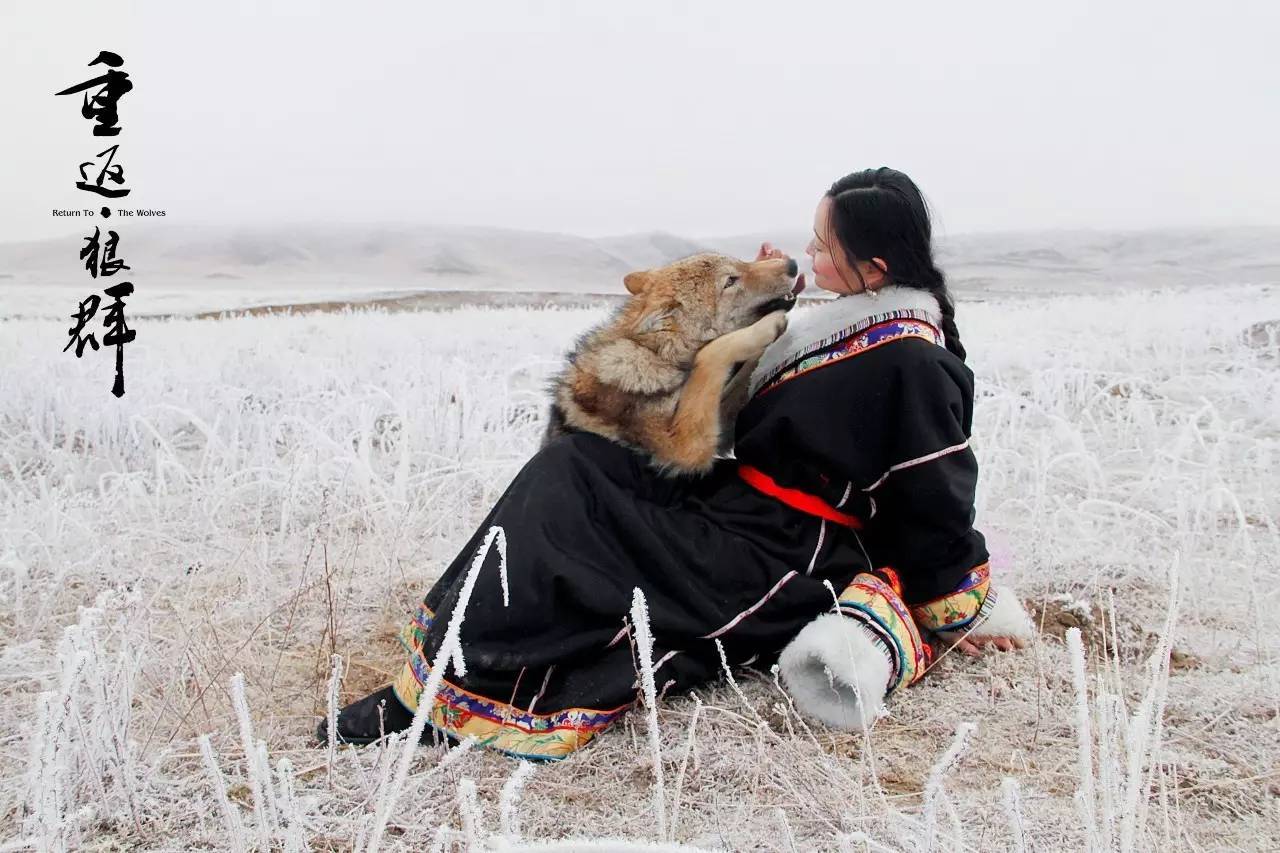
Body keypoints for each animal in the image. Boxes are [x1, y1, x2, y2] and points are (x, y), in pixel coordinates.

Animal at [542, 252, 803, 479]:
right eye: (730, 281)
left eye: (742, 262)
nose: (792, 264)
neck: (657, 355)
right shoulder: (683, 445)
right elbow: (711, 354)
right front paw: (768, 328)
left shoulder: (719, 423)